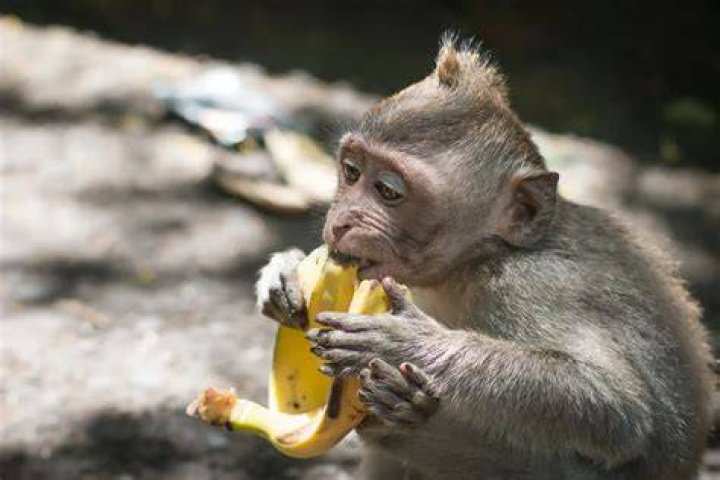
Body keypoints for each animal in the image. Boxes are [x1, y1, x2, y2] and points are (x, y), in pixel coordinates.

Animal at [255, 37, 713, 479]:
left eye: (388, 191)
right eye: (351, 171)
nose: (342, 220)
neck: (470, 265)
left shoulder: (534, 285)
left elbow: (617, 409)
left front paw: (412, 343)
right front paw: (284, 272)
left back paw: (407, 419)